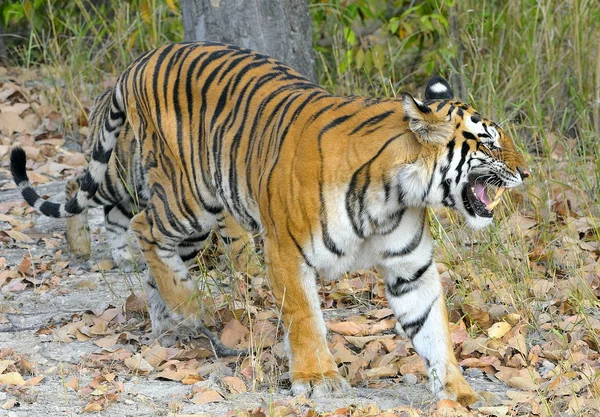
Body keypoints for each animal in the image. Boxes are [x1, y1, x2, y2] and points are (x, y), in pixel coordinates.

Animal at [62, 89, 258, 274]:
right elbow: (240, 243)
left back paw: (126, 258)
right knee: (74, 186)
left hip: (139, 194)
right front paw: (251, 274)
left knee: (113, 219)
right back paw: (80, 245)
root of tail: (104, 96)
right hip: (117, 178)